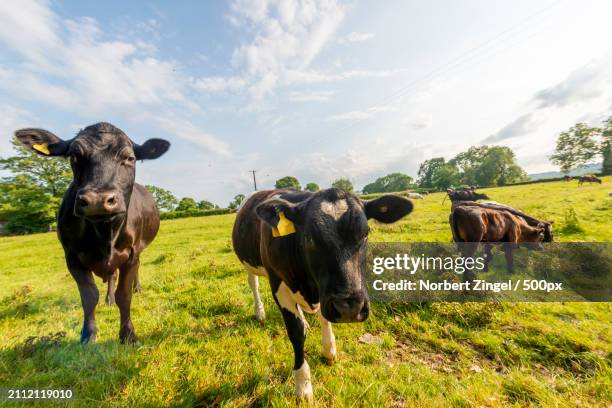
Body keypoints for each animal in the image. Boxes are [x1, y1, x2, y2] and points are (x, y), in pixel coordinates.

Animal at [15, 122, 169, 344]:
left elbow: (124, 295)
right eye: (74, 157)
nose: (98, 199)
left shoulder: (131, 253)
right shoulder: (71, 257)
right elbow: (89, 296)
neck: (104, 234)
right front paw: (88, 335)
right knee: (111, 277)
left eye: (129, 158)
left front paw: (128, 335)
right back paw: (109, 299)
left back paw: (136, 288)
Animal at [232, 188, 414, 402]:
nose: (349, 307)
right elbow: (296, 333)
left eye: (365, 233)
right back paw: (260, 312)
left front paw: (329, 351)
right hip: (249, 264)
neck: (309, 286)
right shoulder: (279, 286)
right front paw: (303, 386)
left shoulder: (324, 296)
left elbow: (324, 318)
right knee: (253, 284)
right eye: (309, 237)